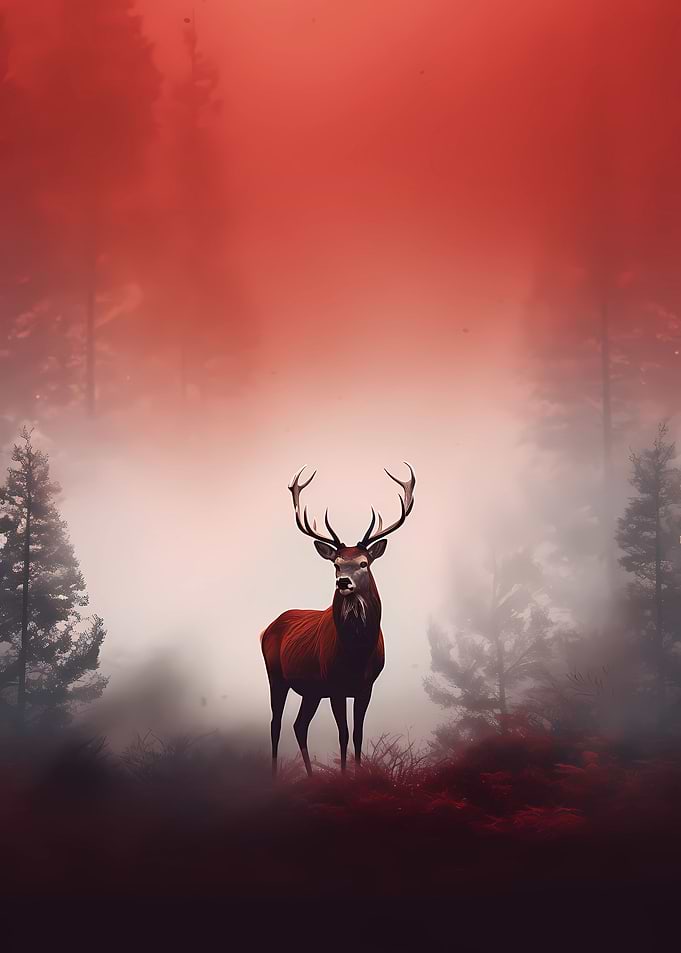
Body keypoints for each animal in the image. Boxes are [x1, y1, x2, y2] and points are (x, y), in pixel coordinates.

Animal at [261, 463, 416, 776]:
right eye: (336, 563)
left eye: (364, 563)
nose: (343, 582)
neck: (356, 654)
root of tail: (266, 629)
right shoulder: (334, 684)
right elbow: (343, 734)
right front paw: (344, 777)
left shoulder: (366, 686)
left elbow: (357, 734)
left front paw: (357, 774)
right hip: (276, 676)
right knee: (275, 724)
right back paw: (273, 776)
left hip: (310, 689)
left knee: (299, 725)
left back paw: (310, 776)